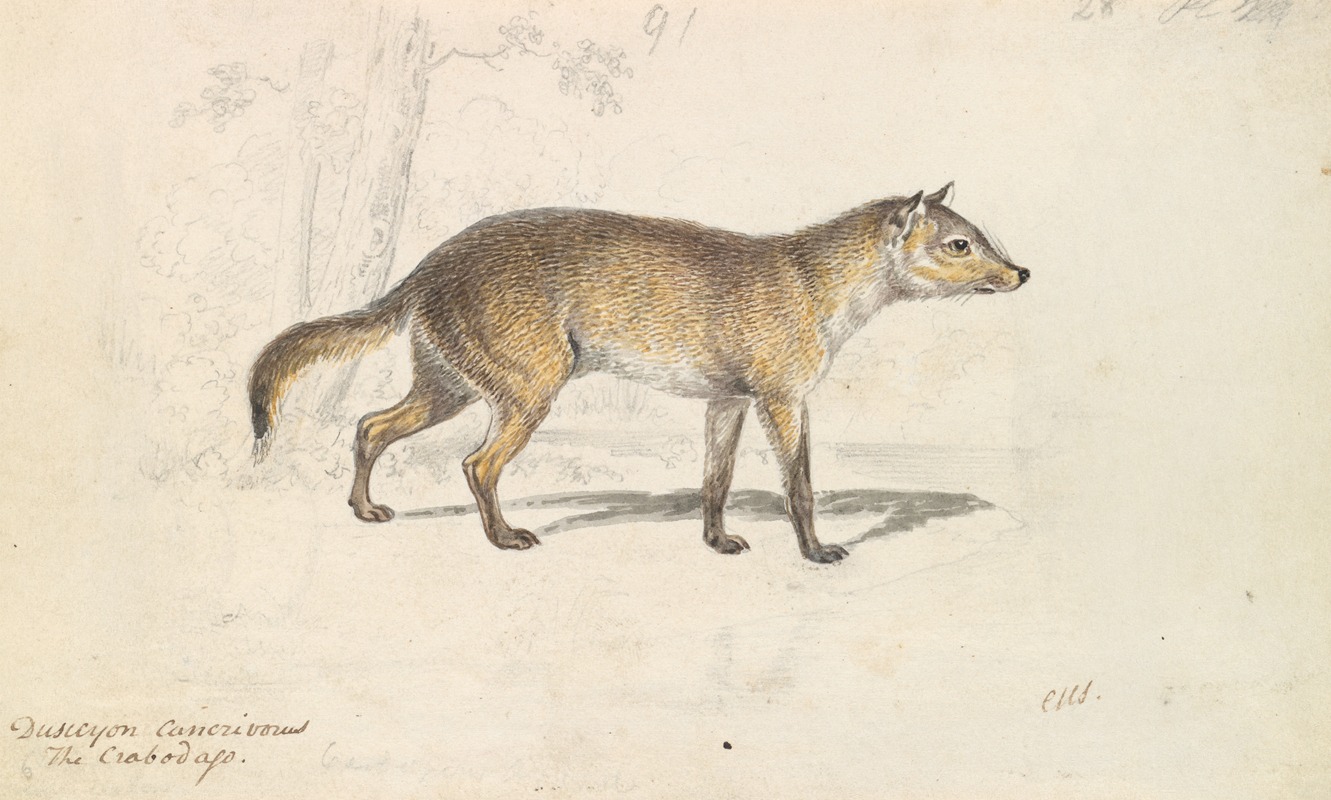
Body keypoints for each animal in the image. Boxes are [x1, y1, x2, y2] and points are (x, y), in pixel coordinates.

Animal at [248, 182, 1028, 563]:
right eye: (960, 244)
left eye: (980, 235)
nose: (1021, 272)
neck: (813, 281)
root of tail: (424, 268)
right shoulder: (783, 398)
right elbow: (799, 487)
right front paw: (816, 552)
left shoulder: (726, 401)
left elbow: (715, 480)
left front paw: (719, 542)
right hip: (524, 388)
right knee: (475, 463)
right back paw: (504, 539)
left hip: (448, 382)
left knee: (369, 426)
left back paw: (366, 510)